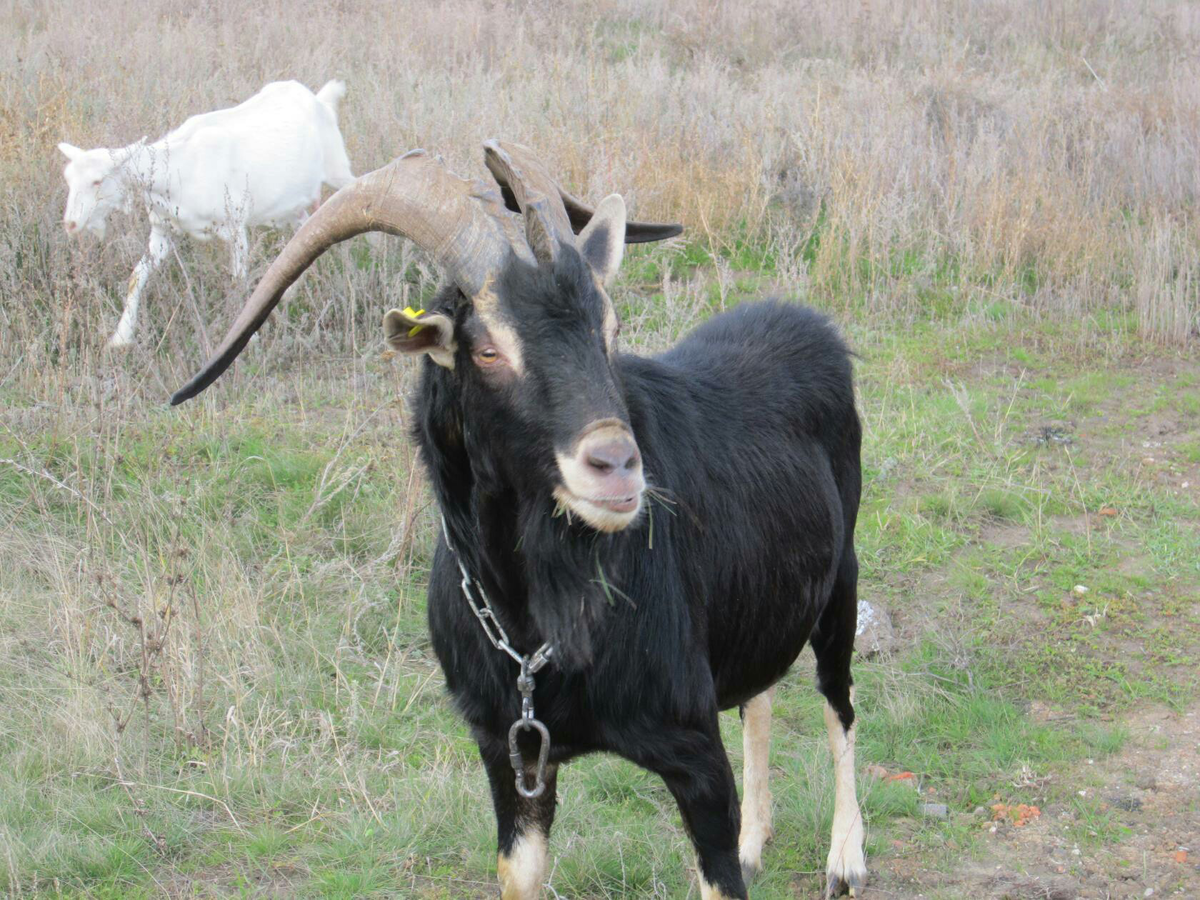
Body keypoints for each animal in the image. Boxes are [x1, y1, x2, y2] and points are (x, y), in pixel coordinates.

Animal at [59, 81, 352, 348]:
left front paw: (248, 339)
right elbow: (137, 275)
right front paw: (120, 337)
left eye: (97, 180)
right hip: (286, 208)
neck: (176, 169)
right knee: (305, 227)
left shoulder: (235, 228)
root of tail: (319, 99)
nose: (71, 223)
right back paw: (290, 291)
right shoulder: (164, 231)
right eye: (68, 178)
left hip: (338, 169)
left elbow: (237, 281)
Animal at [174, 141, 864, 900]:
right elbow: (522, 870)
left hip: (842, 579)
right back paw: (756, 841)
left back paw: (845, 859)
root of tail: (808, 323)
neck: (536, 623)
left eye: (608, 330)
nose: (617, 465)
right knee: (759, 693)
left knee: (838, 702)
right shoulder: (509, 751)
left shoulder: (694, 756)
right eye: (487, 349)